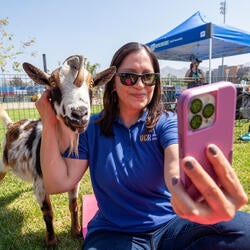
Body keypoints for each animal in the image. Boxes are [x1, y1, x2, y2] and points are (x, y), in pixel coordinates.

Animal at [0, 54, 116, 246]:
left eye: (92, 84)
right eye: (52, 83)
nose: (79, 114)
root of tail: (11, 125)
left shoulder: (74, 182)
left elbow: (73, 205)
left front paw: (76, 231)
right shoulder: (40, 183)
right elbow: (48, 212)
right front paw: (51, 241)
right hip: (2, 164)